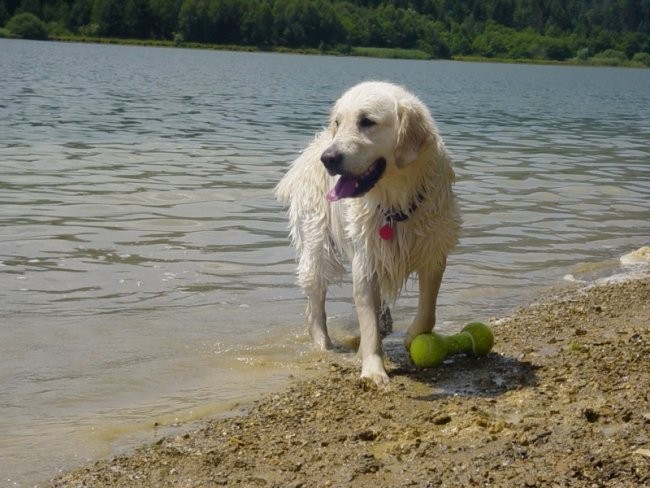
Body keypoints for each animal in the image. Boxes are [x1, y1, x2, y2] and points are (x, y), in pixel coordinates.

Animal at [274, 81, 460, 386]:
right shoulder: (366, 261)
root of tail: (313, 147)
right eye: (339, 122)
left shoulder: (434, 250)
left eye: (367, 122)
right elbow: (368, 321)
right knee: (315, 305)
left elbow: (428, 310)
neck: (396, 204)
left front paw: (412, 336)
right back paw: (325, 345)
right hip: (317, 245)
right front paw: (373, 370)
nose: (329, 158)